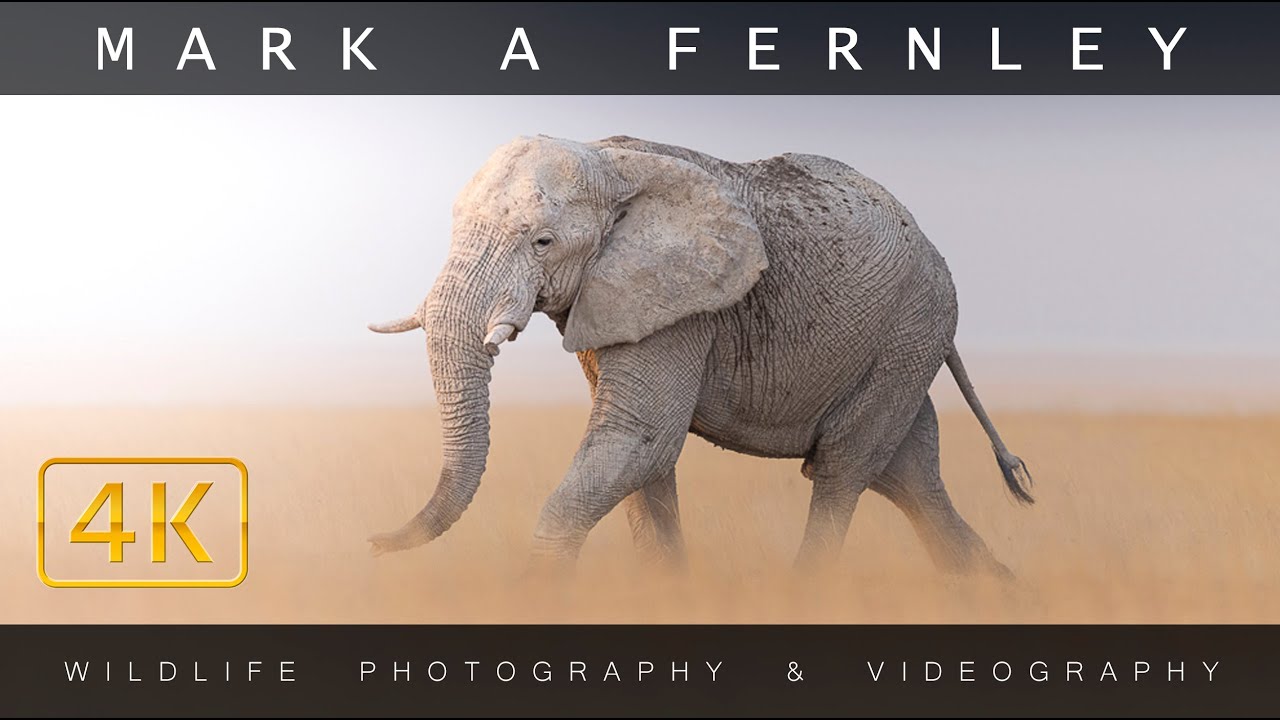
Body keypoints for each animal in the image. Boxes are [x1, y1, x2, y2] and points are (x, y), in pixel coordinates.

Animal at [367, 134, 1032, 576]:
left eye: (543, 242)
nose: (372, 542)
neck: (609, 160)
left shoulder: (686, 305)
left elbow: (640, 438)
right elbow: (643, 459)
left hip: (911, 328)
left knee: (844, 470)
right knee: (909, 475)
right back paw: (998, 590)